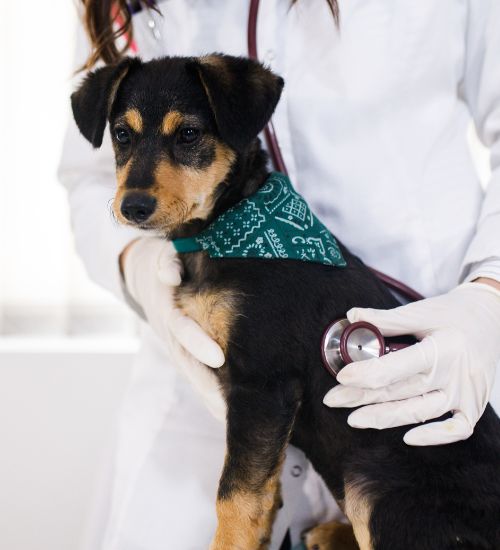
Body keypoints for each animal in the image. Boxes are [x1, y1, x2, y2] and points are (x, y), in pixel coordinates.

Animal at [72, 52, 500, 550]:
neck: (227, 228)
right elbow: (259, 492)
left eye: (189, 134)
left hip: (377, 491)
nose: (133, 207)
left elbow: (234, 496)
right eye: (122, 134)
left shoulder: (264, 382)